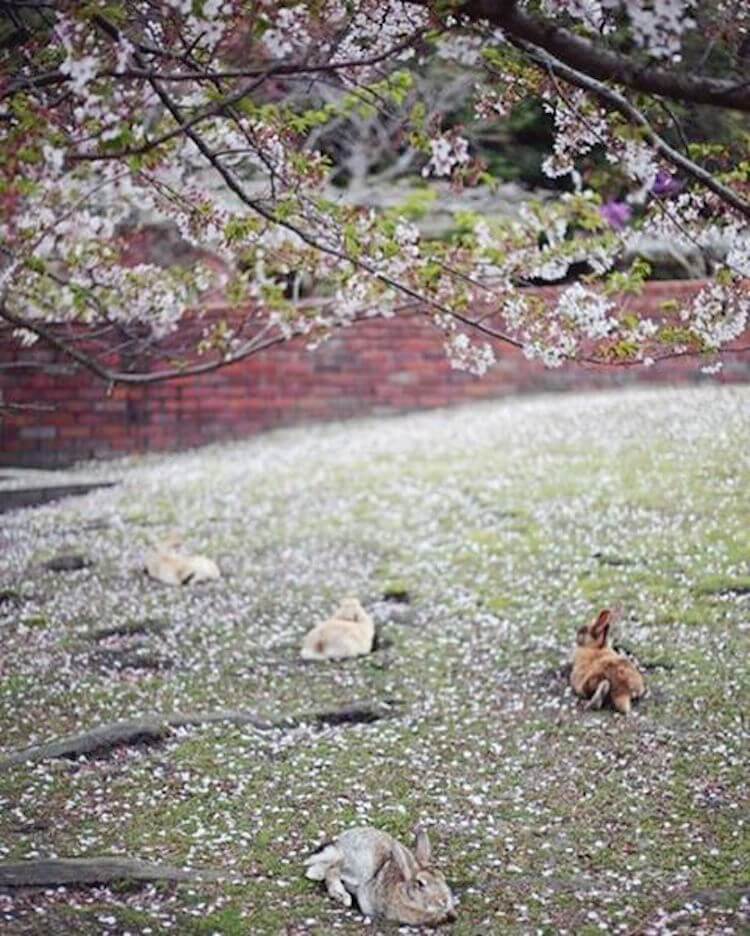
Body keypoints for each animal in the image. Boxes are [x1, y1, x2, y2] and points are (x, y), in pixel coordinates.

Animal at [306, 824, 458, 924]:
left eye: (442, 878)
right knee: (332, 871)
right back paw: (342, 896)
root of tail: (340, 846)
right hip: (362, 868)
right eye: (420, 884)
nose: (444, 901)